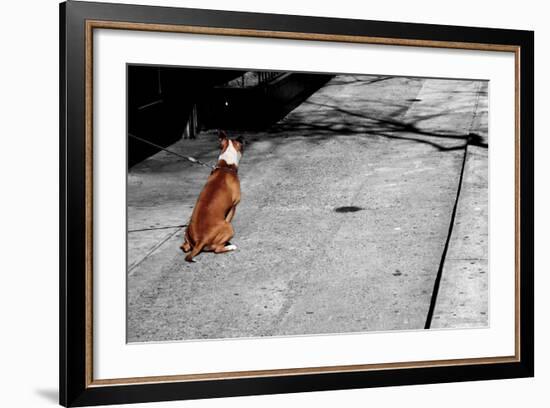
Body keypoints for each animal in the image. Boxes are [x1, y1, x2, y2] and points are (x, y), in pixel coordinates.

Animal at [182, 132, 245, 262]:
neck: (226, 166)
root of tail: (200, 240)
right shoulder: (233, 207)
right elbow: (229, 216)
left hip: (187, 232)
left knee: (185, 247)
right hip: (228, 227)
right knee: (217, 249)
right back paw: (230, 246)